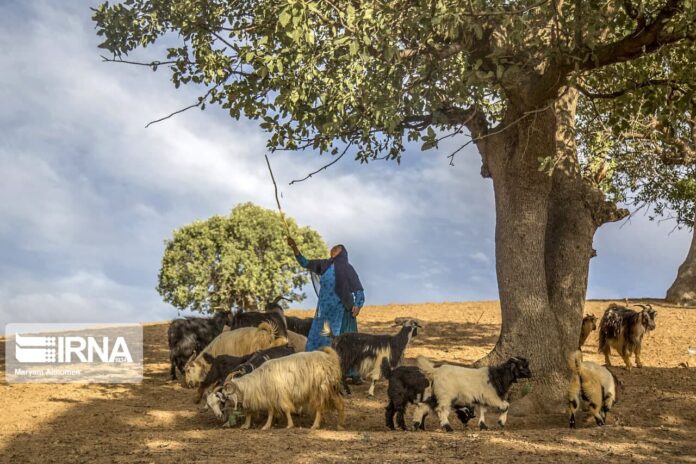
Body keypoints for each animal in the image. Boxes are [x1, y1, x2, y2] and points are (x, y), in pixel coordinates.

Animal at [211, 347, 345, 430]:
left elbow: (285, 409)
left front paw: (289, 425)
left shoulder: (280, 395)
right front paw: (266, 426)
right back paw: (340, 424)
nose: (221, 415)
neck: (256, 382)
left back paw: (315, 425)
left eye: (226, 397)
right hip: (331, 389)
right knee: (339, 404)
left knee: (320, 407)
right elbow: (271, 412)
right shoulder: (271, 397)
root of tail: (330, 359)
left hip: (320, 389)